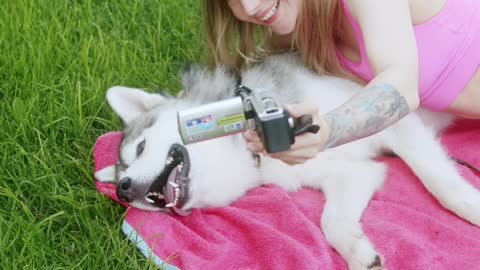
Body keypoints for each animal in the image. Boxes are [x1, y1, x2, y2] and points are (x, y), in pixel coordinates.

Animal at [96, 53, 480, 268]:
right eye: (118, 180)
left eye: (140, 148)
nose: (125, 189)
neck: (252, 152)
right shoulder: (351, 173)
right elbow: (332, 222)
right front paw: (360, 253)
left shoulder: (396, 116)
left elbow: (443, 185)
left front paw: (471, 207)